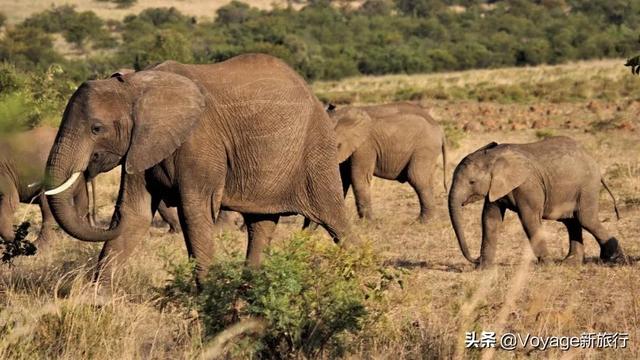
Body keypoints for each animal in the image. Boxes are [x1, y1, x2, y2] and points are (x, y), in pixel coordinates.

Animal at [45, 54, 352, 282]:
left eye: (96, 128)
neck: (136, 85)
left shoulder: (198, 141)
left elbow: (195, 212)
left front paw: (206, 304)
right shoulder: (142, 145)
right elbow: (134, 214)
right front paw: (97, 302)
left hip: (315, 152)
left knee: (336, 220)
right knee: (260, 226)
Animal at [448, 136, 624, 266]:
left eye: (471, 182)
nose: (475, 259)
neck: (493, 156)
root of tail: (593, 161)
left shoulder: (528, 185)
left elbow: (529, 219)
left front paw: (547, 265)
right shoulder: (495, 187)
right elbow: (490, 219)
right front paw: (485, 268)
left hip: (587, 186)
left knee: (586, 219)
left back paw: (614, 259)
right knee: (572, 222)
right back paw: (571, 262)